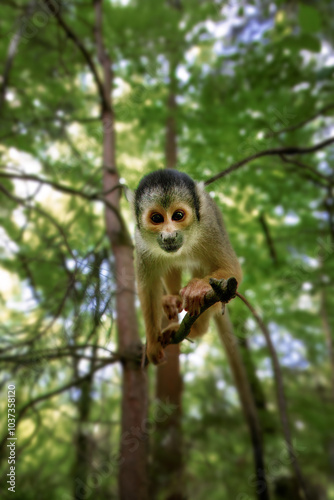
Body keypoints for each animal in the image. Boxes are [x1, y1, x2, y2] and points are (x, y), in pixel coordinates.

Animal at [134, 169, 241, 364]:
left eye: (178, 216)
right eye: (156, 218)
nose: (169, 236)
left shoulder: (210, 226)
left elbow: (233, 269)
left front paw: (196, 288)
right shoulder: (140, 241)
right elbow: (149, 287)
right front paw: (152, 344)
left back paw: (197, 328)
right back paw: (174, 298)